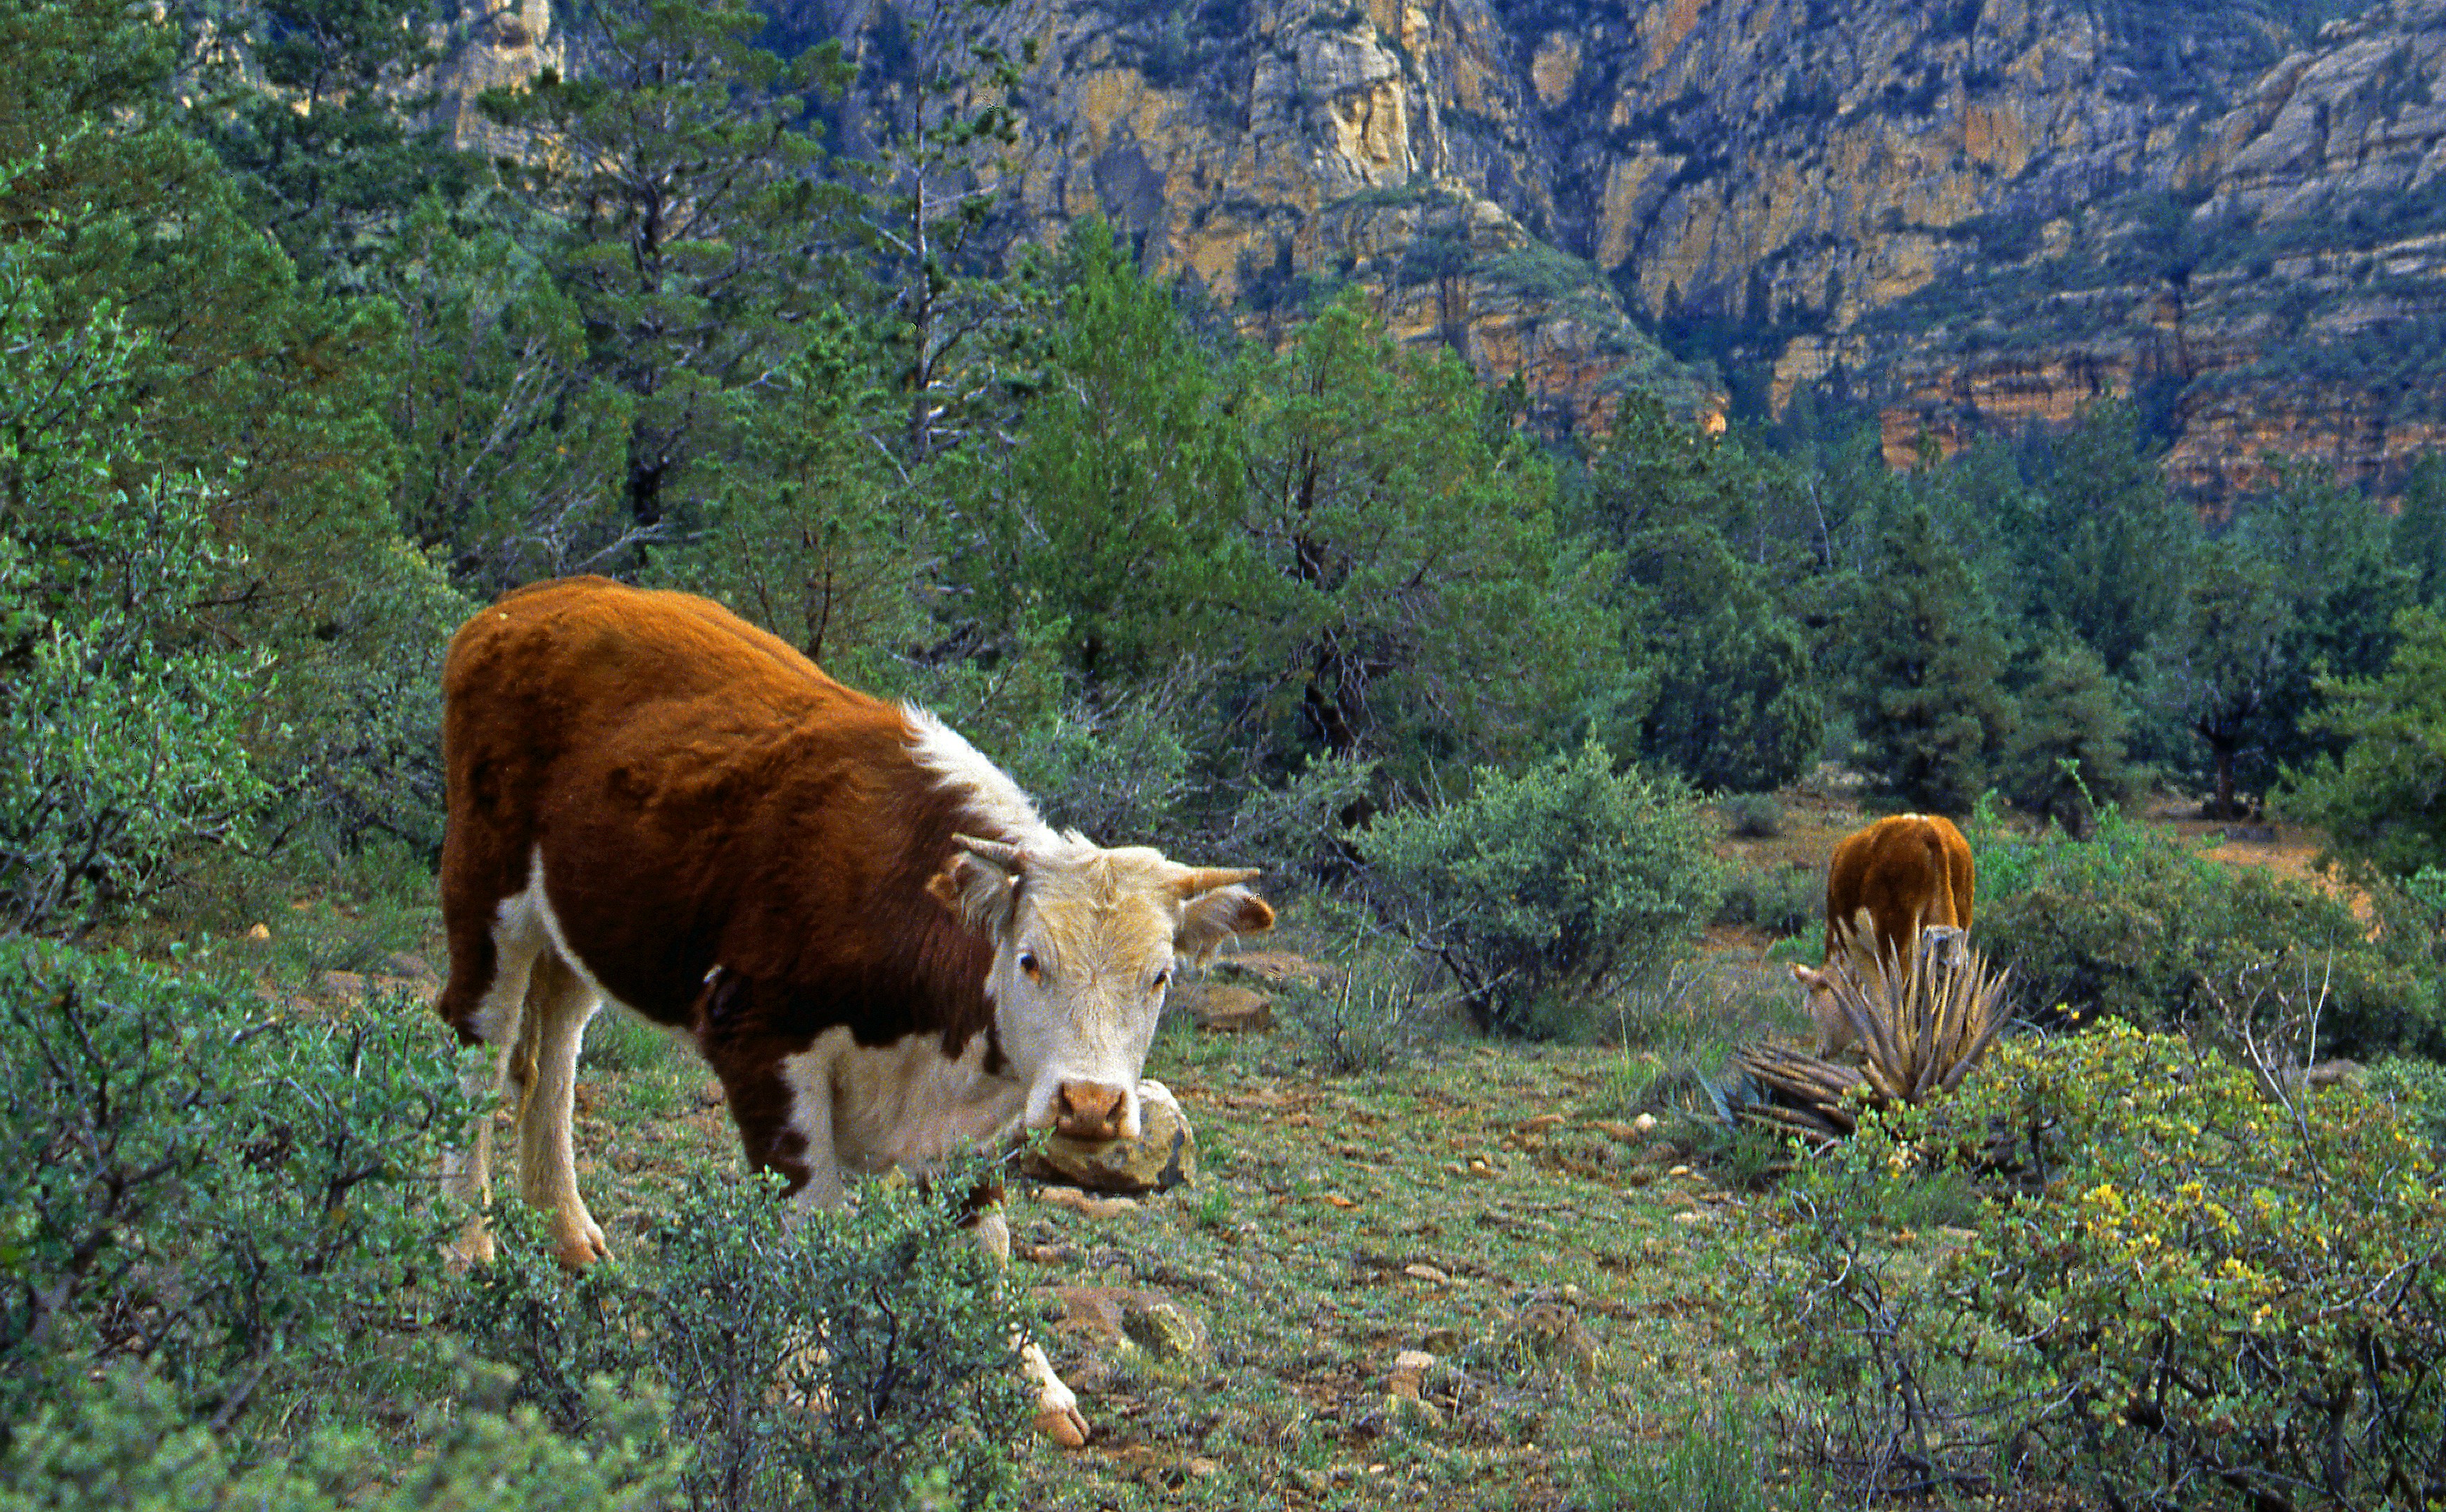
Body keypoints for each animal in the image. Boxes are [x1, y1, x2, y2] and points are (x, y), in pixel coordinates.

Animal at [433, 576, 1274, 1448]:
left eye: (1160, 976)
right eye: (1029, 959)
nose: (1091, 1103)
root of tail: (534, 601)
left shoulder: (968, 1124)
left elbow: (985, 1242)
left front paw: (1035, 1384)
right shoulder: (758, 1039)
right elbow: (807, 1217)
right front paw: (802, 1383)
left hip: (583, 924)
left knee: (555, 1054)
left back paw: (566, 1229)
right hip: (484, 892)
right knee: (477, 1057)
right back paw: (468, 1244)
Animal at [1788, 813, 1974, 1056]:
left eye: (1809, 1009)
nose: (1820, 1051)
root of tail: (1927, 829)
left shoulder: (1854, 944)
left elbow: (1875, 998)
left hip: (1894, 938)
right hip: (1959, 927)